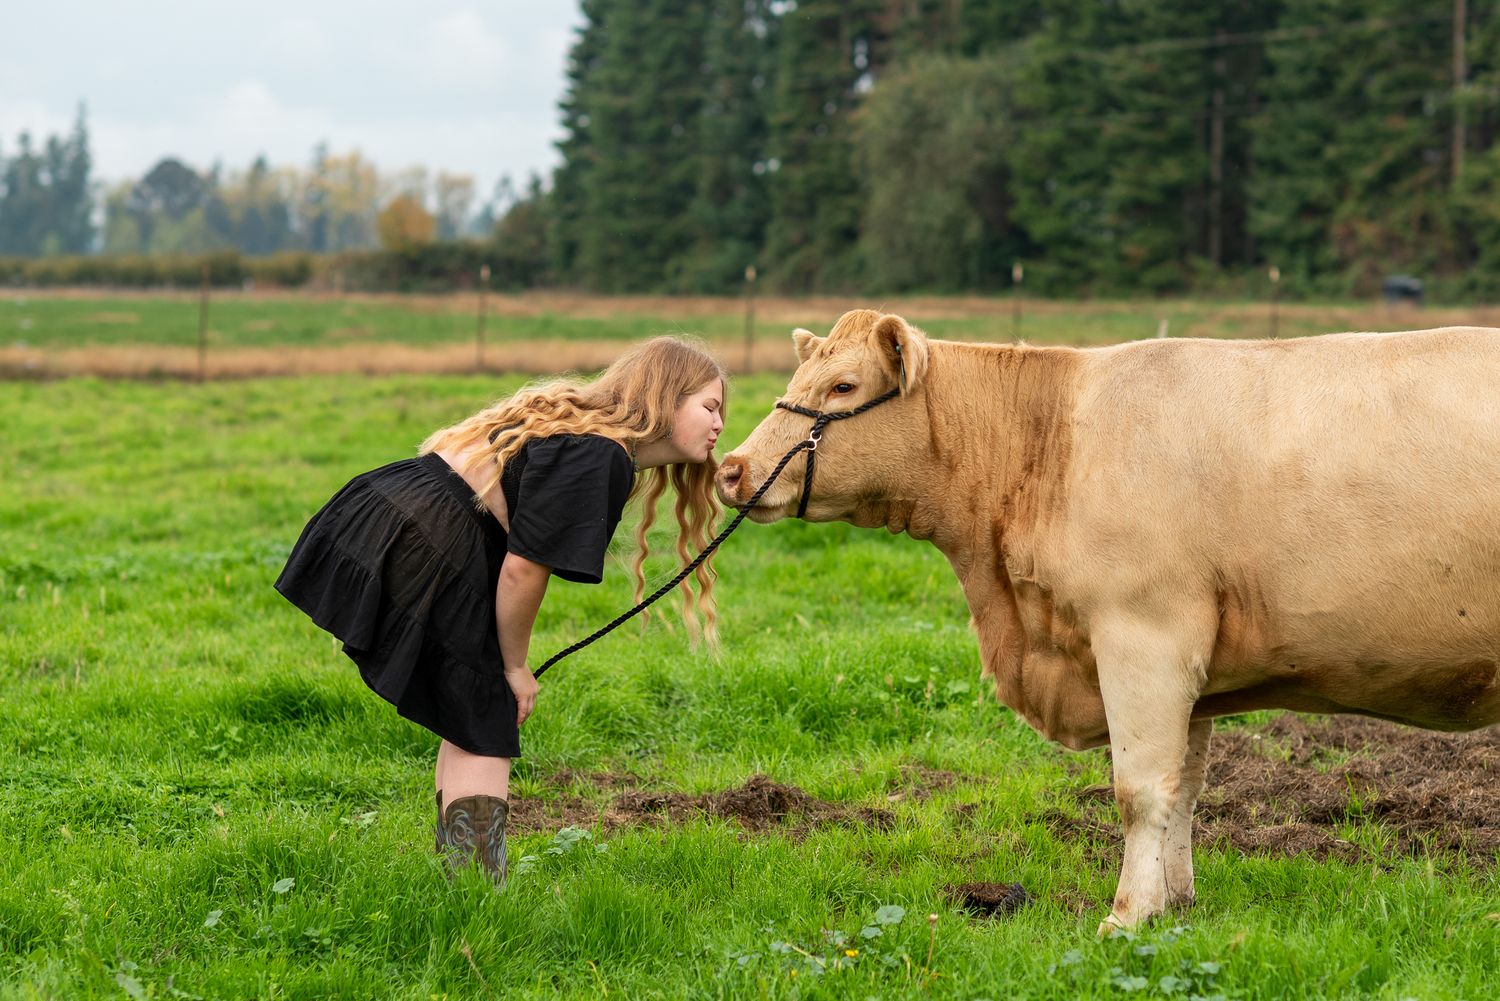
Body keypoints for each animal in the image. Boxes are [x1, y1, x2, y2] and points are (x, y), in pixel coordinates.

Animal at [715, 308, 1500, 933]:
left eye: (844, 386)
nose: (731, 468)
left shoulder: (1143, 636)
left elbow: (1139, 791)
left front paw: (1125, 917)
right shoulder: (1191, 668)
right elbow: (1184, 787)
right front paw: (1174, 904)